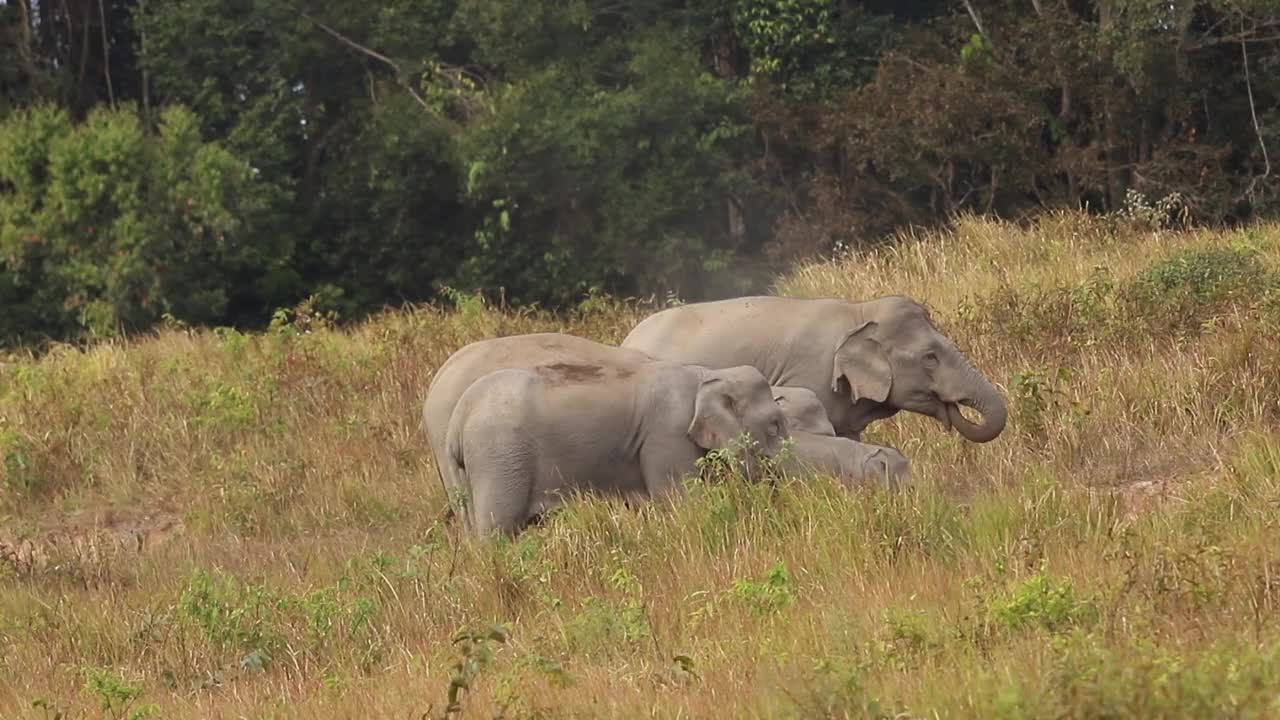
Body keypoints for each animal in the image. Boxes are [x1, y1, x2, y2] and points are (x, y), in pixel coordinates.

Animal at [442, 361, 788, 535]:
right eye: (774, 425)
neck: (710, 374)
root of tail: (458, 418)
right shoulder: (667, 435)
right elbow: (680, 500)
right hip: (499, 457)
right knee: (497, 528)